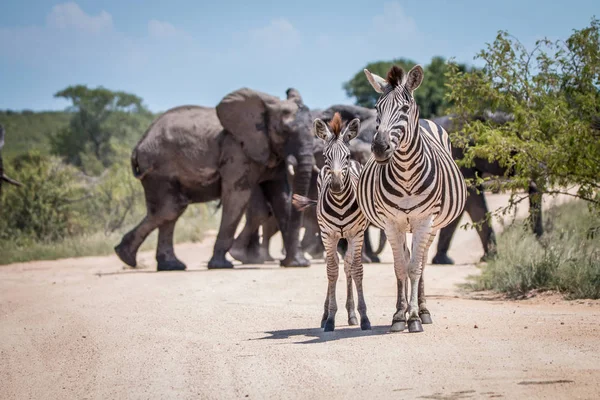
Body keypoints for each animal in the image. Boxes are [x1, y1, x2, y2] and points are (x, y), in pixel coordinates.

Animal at [114, 86, 316, 270]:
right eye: (284, 131)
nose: (292, 261)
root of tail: (138, 145)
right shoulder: (237, 150)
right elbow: (237, 196)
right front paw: (221, 265)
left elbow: (281, 198)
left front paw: (297, 264)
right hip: (159, 168)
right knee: (169, 208)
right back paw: (126, 257)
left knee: (172, 210)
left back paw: (168, 265)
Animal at [292, 111, 370, 332]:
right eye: (326, 157)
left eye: (347, 156)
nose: (335, 186)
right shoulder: (328, 235)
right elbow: (332, 271)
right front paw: (330, 318)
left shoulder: (356, 234)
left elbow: (356, 270)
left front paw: (363, 317)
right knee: (332, 265)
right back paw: (325, 314)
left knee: (348, 265)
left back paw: (351, 314)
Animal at [356, 65, 468, 332]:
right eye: (376, 107)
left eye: (405, 108)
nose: (380, 148)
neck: (406, 173)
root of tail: (428, 120)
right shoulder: (391, 222)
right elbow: (400, 268)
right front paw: (399, 315)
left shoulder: (425, 220)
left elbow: (415, 268)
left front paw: (415, 317)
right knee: (407, 260)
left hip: (432, 225)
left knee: (422, 260)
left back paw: (423, 310)